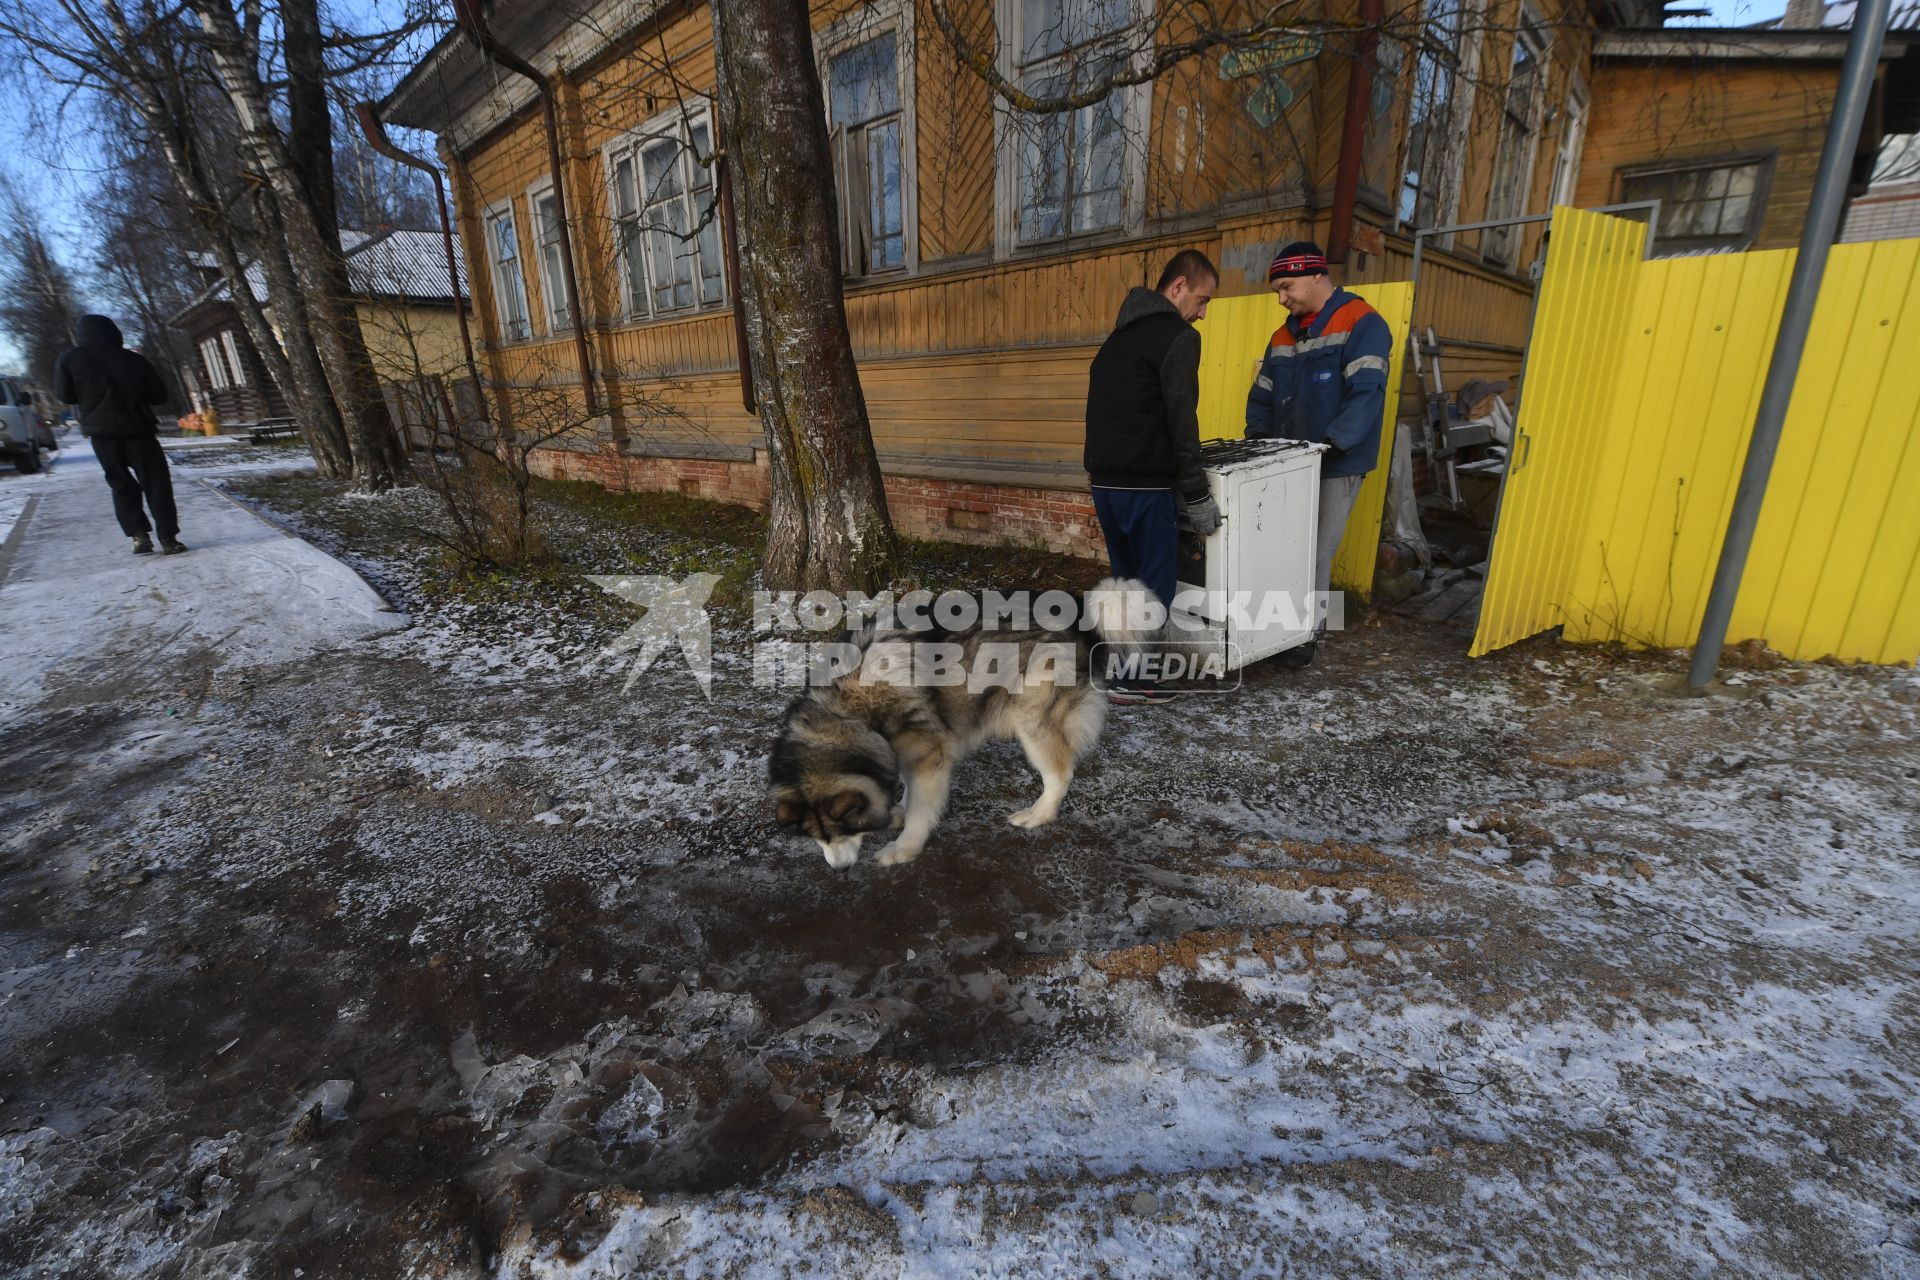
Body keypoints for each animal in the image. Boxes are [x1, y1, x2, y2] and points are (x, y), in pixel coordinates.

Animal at [764, 583, 1152, 871]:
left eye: (843, 828)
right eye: (815, 835)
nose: (840, 870)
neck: (848, 711)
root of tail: (1078, 615)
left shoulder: (928, 756)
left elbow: (922, 807)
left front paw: (904, 847)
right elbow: (907, 787)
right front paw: (899, 808)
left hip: (1031, 721)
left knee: (1060, 773)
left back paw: (1038, 815)